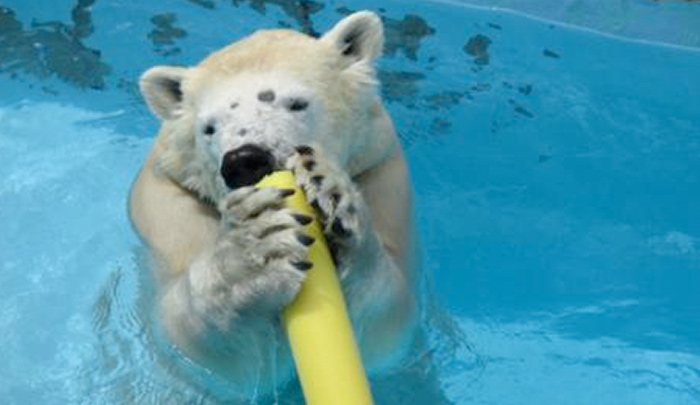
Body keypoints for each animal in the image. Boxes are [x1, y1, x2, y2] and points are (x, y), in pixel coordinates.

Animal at [129, 11, 418, 396]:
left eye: (296, 103)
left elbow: (388, 322)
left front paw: (330, 192)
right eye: (209, 127)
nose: (244, 160)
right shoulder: (169, 209)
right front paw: (254, 250)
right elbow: (202, 351)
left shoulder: (382, 176)